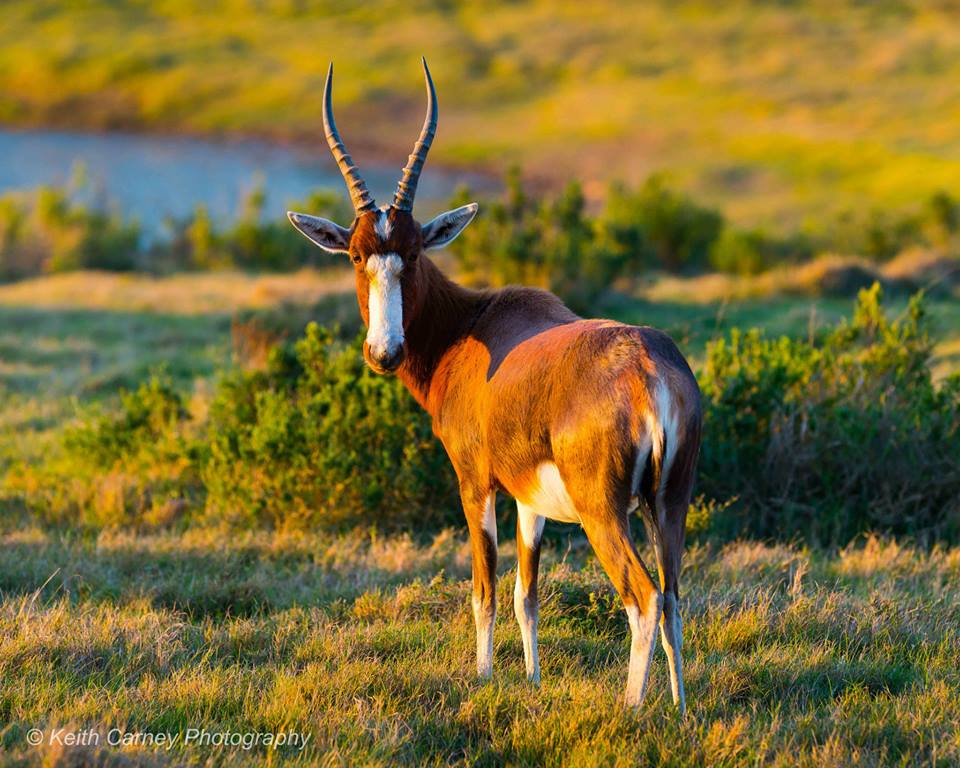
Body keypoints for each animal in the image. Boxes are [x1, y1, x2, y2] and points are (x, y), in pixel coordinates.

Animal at [284, 57, 696, 712]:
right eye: (355, 255)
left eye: (412, 252)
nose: (384, 352)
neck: (473, 326)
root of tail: (650, 370)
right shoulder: (530, 499)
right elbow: (526, 594)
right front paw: (530, 681)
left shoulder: (475, 483)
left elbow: (484, 588)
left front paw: (481, 679)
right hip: (670, 503)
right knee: (676, 596)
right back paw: (679, 709)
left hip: (605, 513)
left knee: (645, 597)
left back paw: (632, 711)